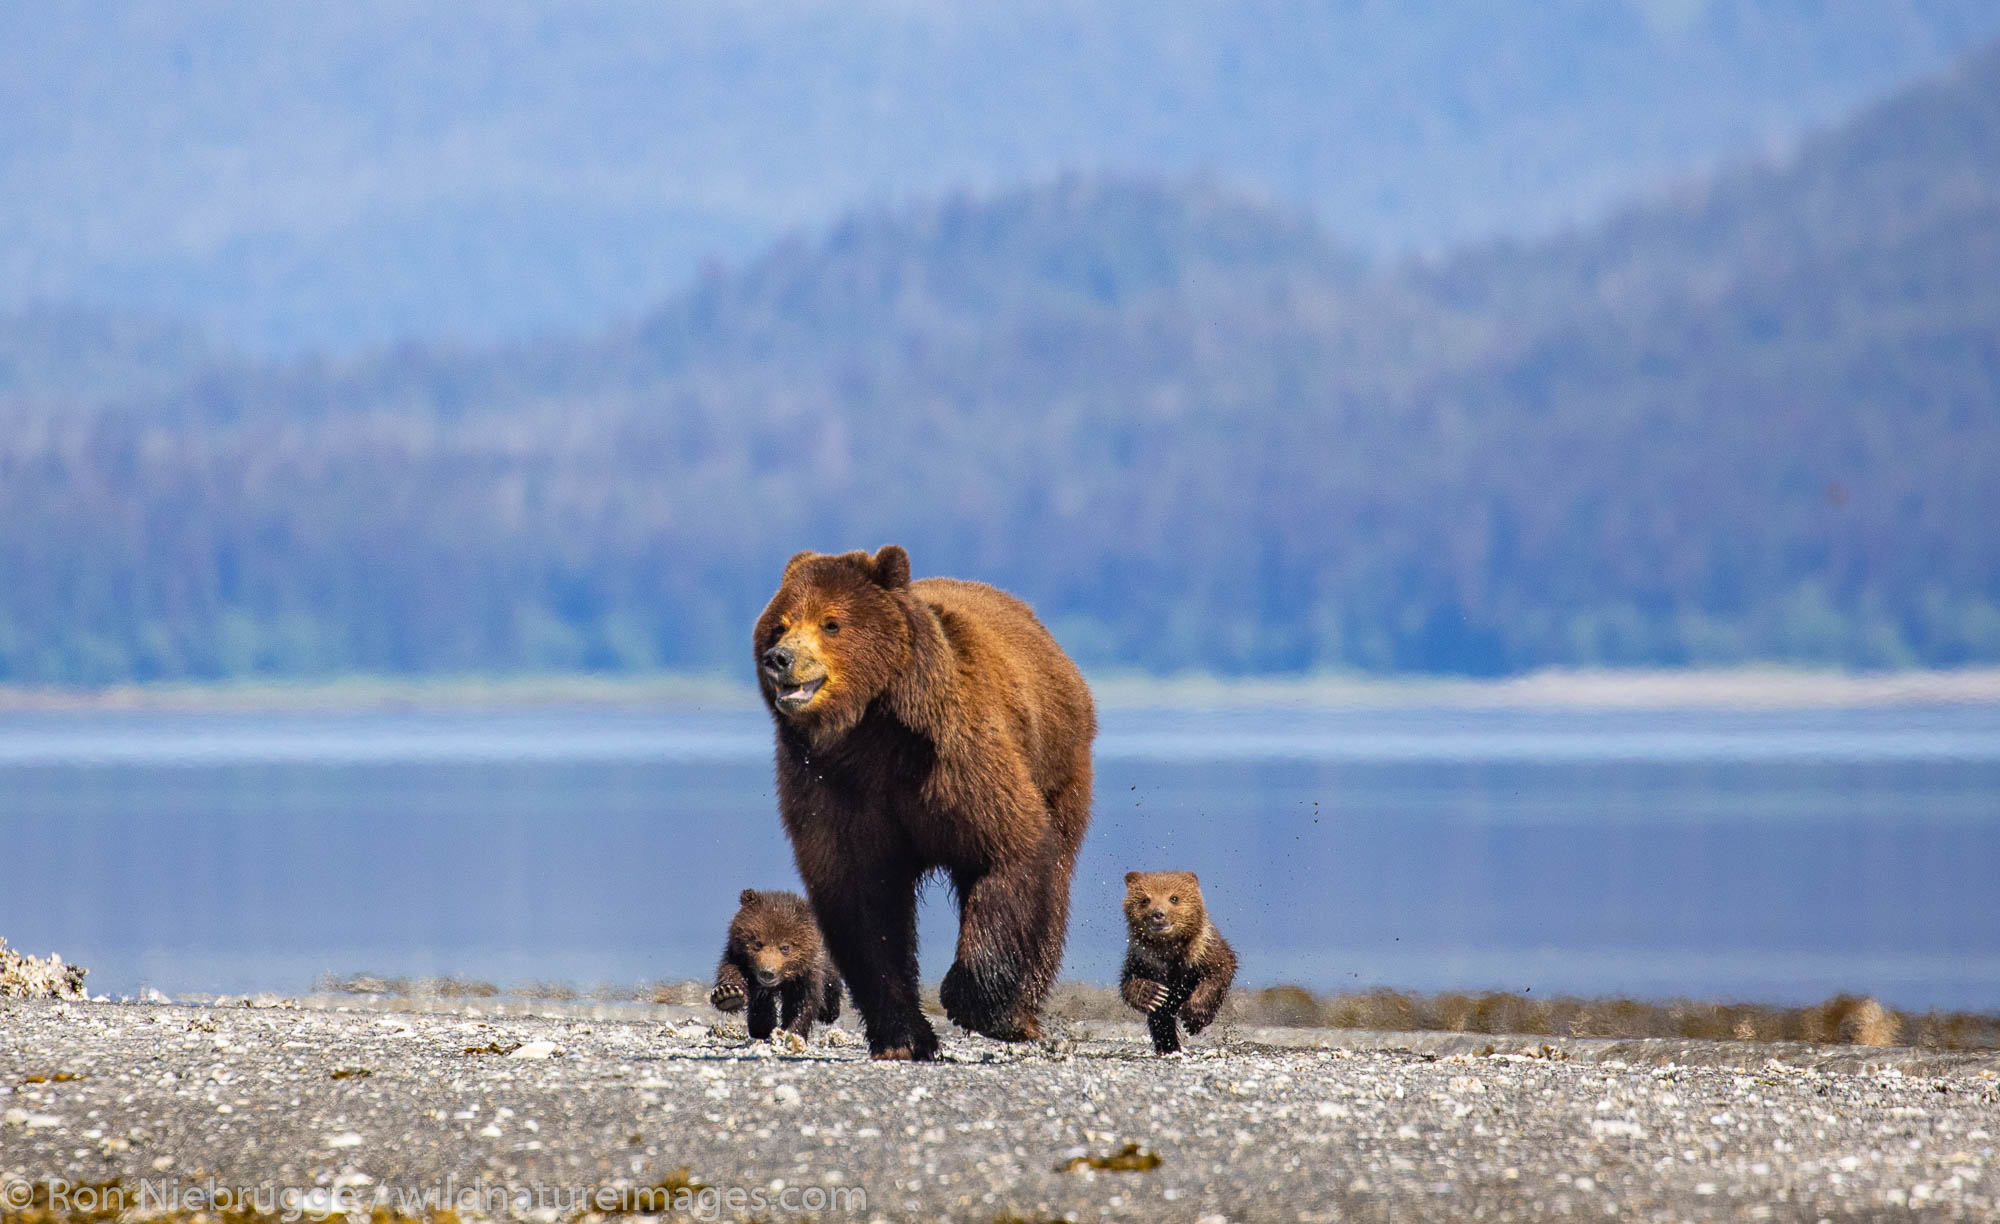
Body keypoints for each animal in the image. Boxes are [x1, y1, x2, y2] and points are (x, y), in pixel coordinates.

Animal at [752, 544, 1096, 1064]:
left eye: (831, 623)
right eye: (780, 623)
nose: (781, 658)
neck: (870, 733)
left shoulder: (955, 763)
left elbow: (1008, 849)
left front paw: (973, 1001)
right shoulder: (833, 789)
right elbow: (865, 906)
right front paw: (904, 1037)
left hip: (1060, 769)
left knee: (1051, 885)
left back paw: (1022, 1013)